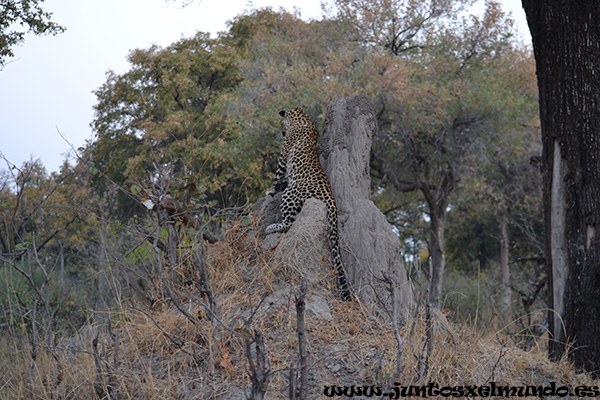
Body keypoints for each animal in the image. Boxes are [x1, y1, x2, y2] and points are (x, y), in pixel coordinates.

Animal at [266, 106, 354, 300]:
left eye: (281, 124)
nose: (282, 133)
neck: (302, 118)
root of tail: (330, 196)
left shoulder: (284, 155)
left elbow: (277, 176)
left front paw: (271, 191)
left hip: (291, 194)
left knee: (289, 224)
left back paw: (271, 227)